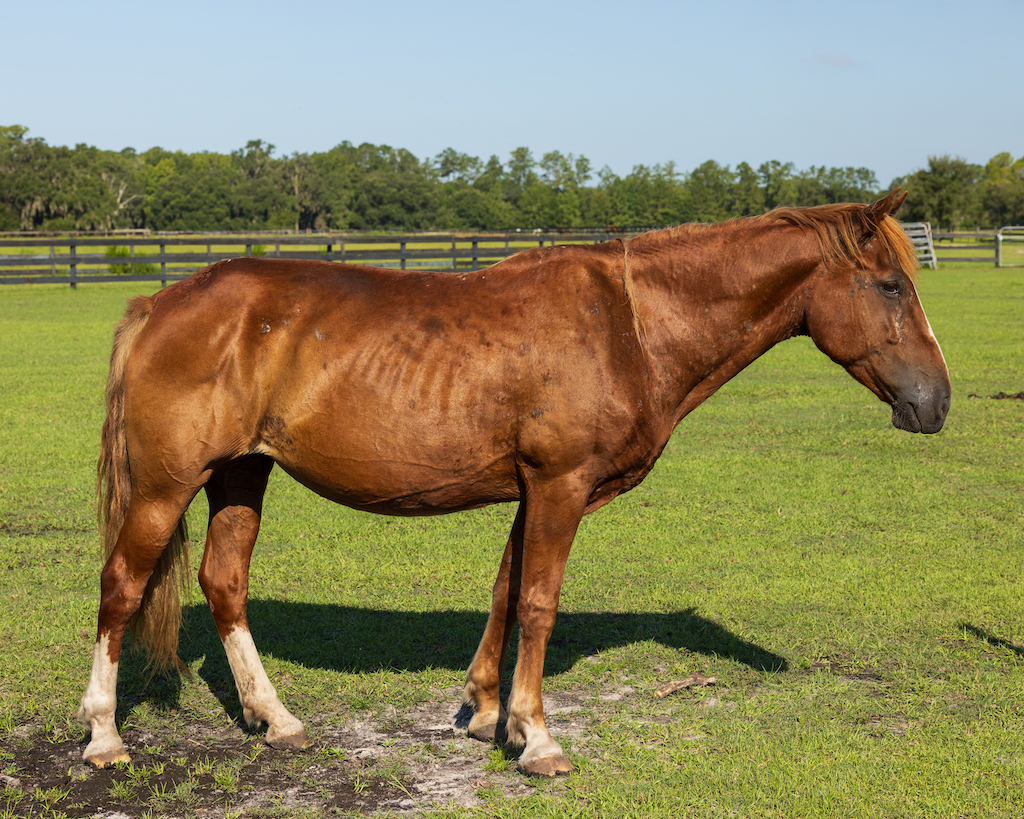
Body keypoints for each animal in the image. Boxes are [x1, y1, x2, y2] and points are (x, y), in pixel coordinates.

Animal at [77, 190, 950, 776]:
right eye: (891, 285)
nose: (935, 402)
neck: (628, 322)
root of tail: (162, 300)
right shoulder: (560, 485)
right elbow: (538, 601)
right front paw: (540, 738)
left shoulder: (533, 490)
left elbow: (505, 590)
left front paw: (489, 712)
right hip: (165, 487)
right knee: (121, 586)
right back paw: (105, 735)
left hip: (240, 473)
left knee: (224, 582)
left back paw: (279, 718)